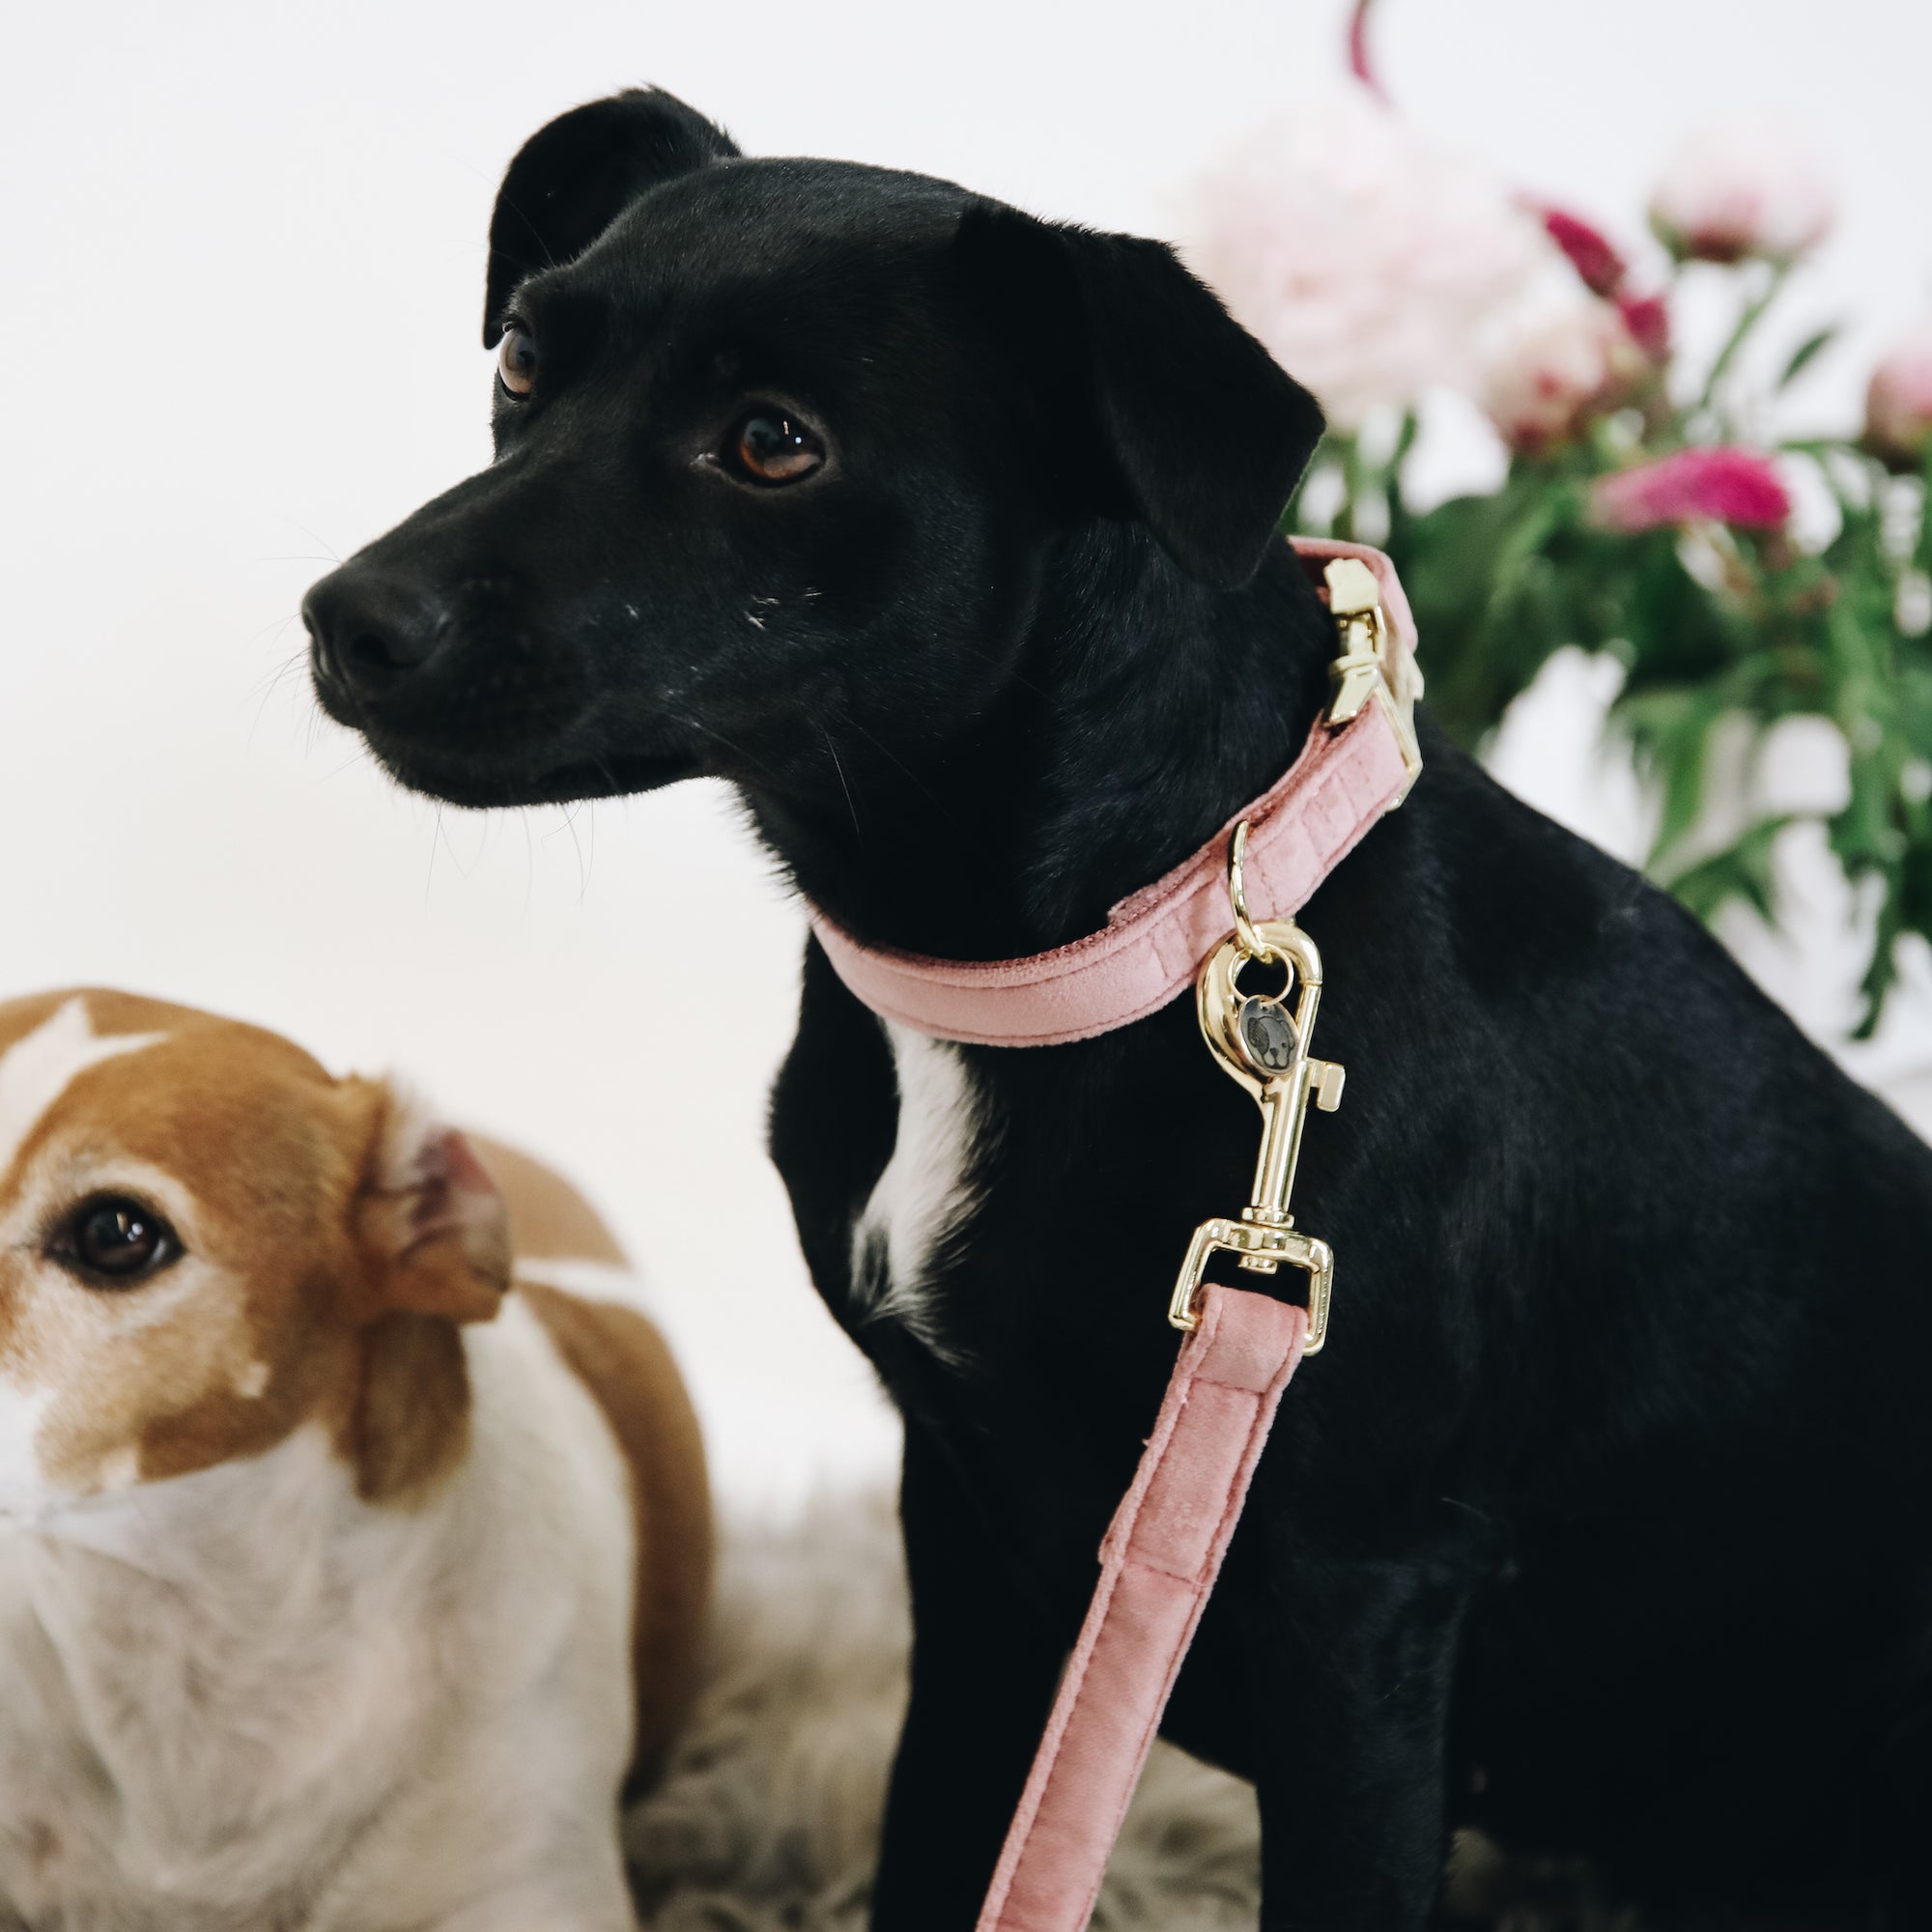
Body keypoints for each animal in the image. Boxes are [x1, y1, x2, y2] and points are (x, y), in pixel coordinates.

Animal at [309, 94, 1932, 1932]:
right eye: (524, 355)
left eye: (775, 444)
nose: (350, 620)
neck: (1097, 961)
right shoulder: (969, 1539)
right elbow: (941, 1845)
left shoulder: (1353, 1600)